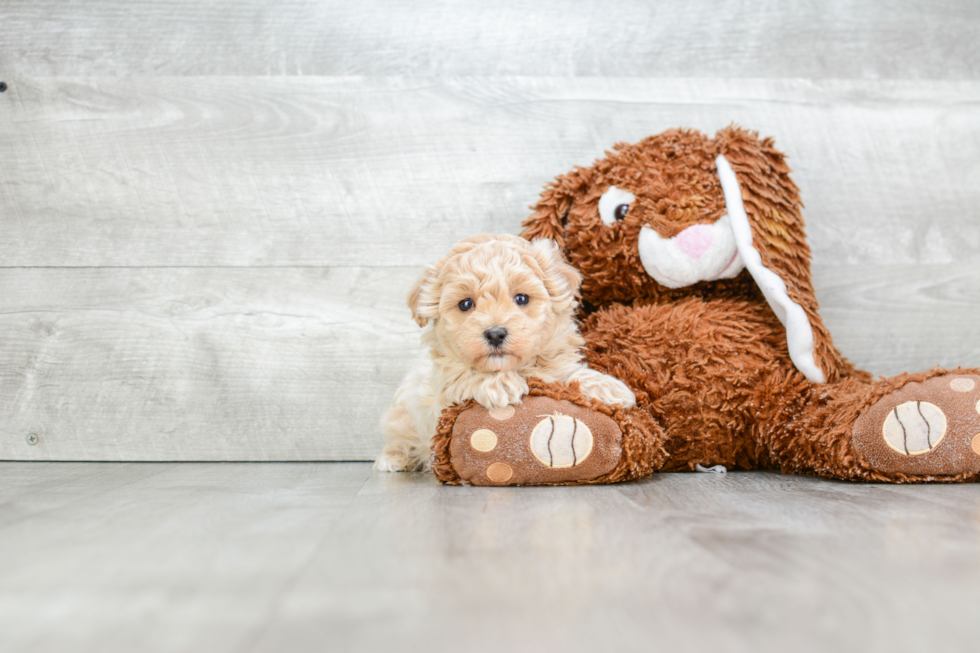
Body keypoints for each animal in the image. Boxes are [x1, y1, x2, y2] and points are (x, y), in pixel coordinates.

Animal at [376, 232, 636, 472]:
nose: (495, 334)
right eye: (465, 304)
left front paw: (608, 387)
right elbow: (464, 377)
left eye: (521, 298)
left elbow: (567, 374)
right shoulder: (442, 403)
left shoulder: (552, 366)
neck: (513, 367)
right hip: (399, 419)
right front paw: (499, 383)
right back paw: (394, 460)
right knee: (397, 441)